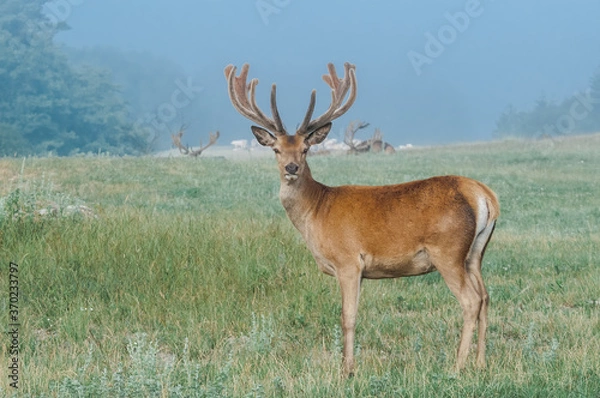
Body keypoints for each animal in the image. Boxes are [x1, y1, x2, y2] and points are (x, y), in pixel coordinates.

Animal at [223, 62, 500, 376]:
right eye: (276, 149)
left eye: (306, 148)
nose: (291, 167)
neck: (317, 211)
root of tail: (484, 195)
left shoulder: (348, 261)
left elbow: (348, 317)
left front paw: (347, 369)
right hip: (475, 253)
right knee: (486, 297)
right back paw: (480, 362)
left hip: (447, 251)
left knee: (471, 300)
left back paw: (458, 366)